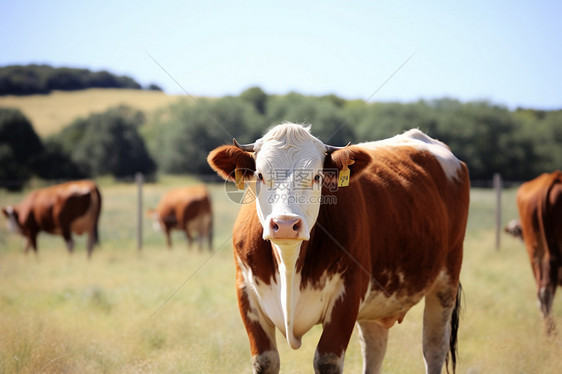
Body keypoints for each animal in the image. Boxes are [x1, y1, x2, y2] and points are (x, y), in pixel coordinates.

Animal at [206, 124, 468, 374]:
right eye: (260, 175)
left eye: (317, 177)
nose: (285, 224)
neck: (289, 265)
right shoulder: (246, 293)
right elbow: (265, 361)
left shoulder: (348, 296)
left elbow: (327, 361)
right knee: (374, 348)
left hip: (446, 281)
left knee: (434, 348)